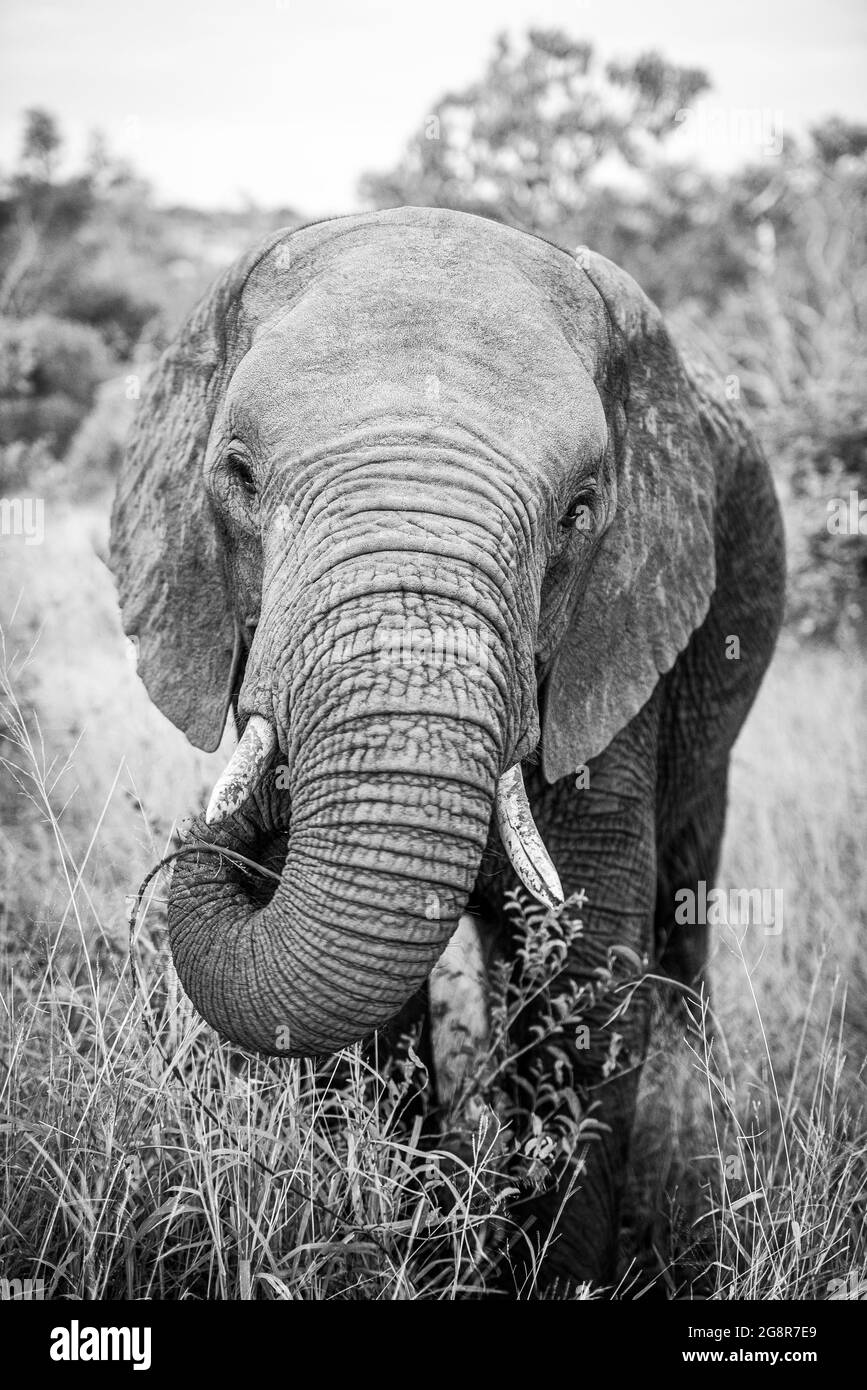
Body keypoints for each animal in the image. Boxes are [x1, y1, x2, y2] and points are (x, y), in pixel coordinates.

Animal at [108, 205, 783, 1289]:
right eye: (238, 476)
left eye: (581, 510)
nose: (242, 810)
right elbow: (370, 1019)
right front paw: (407, 1241)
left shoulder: (611, 651)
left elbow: (583, 974)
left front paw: (551, 1274)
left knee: (680, 906)